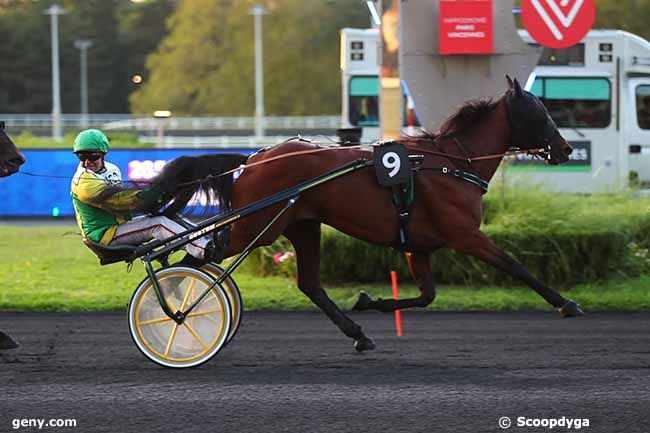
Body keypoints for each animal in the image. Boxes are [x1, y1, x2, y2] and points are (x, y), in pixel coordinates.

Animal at [152, 77, 584, 352]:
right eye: (540, 111)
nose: (565, 148)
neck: (452, 163)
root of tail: (254, 159)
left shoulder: (418, 245)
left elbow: (426, 296)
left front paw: (366, 301)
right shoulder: (465, 234)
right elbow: (516, 266)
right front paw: (566, 303)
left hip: (302, 226)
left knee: (309, 284)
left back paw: (358, 333)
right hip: (255, 226)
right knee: (192, 256)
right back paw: (174, 311)